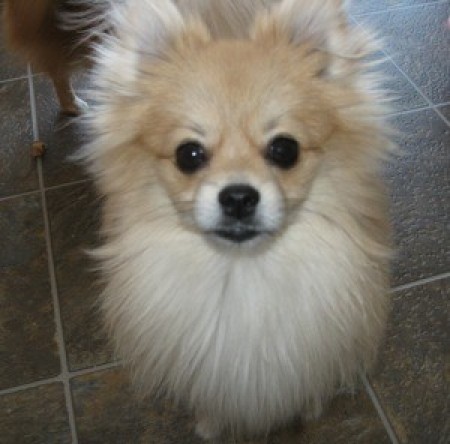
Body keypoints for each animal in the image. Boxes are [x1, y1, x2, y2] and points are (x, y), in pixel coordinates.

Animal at [9, 0, 394, 438]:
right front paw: (210, 425)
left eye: (284, 149)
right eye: (188, 155)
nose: (239, 197)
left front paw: (311, 407)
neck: (241, 274)